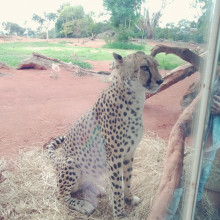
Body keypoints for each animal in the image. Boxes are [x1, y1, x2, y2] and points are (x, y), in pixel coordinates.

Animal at [47, 51, 162, 218]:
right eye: (144, 67)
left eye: (156, 65)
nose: (161, 80)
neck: (134, 99)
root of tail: (57, 161)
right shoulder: (114, 158)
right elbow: (117, 188)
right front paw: (119, 214)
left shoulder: (129, 154)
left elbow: (127, 179)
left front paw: (129, 199)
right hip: (71, 163)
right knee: (61, 194)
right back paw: (83, 205)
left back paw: (97, 188)